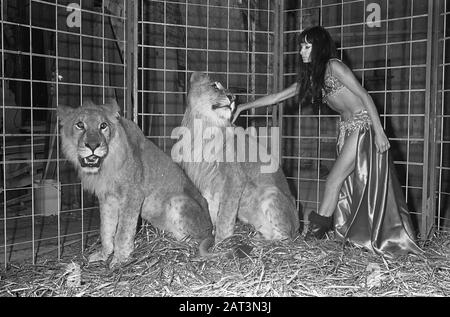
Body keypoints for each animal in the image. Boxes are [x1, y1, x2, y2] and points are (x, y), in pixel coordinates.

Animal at [58, 99, 214, 266]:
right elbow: (106, 229)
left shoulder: (133, 195)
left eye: (103, 125)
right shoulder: (107, 198)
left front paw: (120, 260)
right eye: (80, 125)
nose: (93, 146)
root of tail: (210, 229)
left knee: (195, 241)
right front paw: (104, 254)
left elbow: (123, 232)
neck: (105, 165)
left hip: (178, 200)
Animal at [178, 73, 300, 243]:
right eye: (214, 86)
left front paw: (220, 243)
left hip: (270, 192)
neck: (204, 125)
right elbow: (213, 211)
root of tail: (298, 226)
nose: (233, 97)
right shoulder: (208, 181)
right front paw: (211, 235)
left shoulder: (234, 178)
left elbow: (225, 215)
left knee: (285, 239)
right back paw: (257, 238)